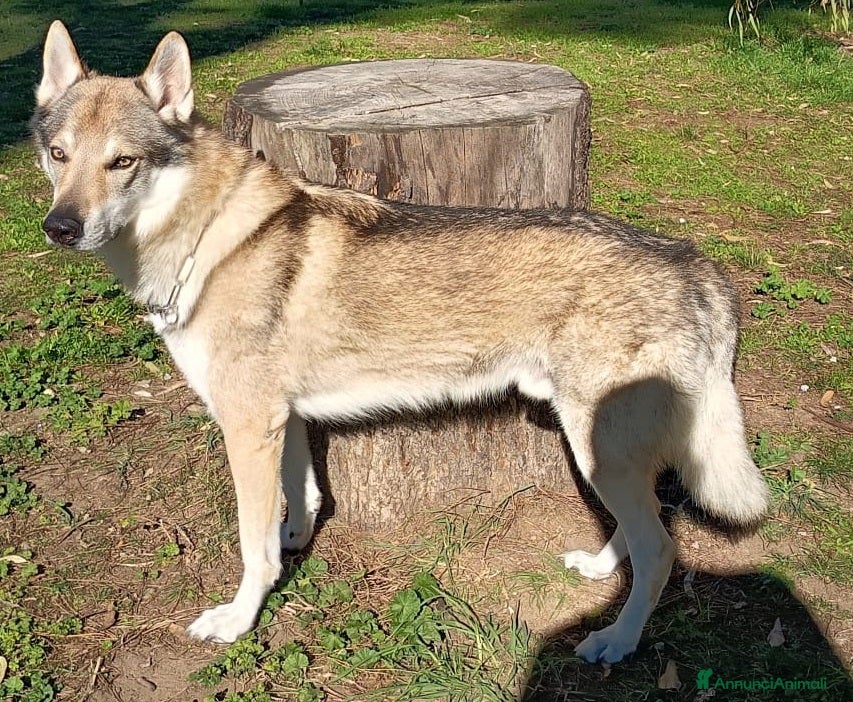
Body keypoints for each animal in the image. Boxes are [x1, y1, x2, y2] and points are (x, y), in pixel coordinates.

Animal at [31, 20, 768, 664]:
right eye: (59, 156)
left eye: (122, 162)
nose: (60, 227)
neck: (210, 238)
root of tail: (692, 261)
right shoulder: (282, 420)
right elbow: (300, 500)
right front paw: (296, 539)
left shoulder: (247, 425)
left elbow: (250, 545)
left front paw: (239, 619)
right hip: (597, 451)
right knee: (644, 526)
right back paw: (598, 567)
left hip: (598, 449)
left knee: (660, 549)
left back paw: (616, 641)